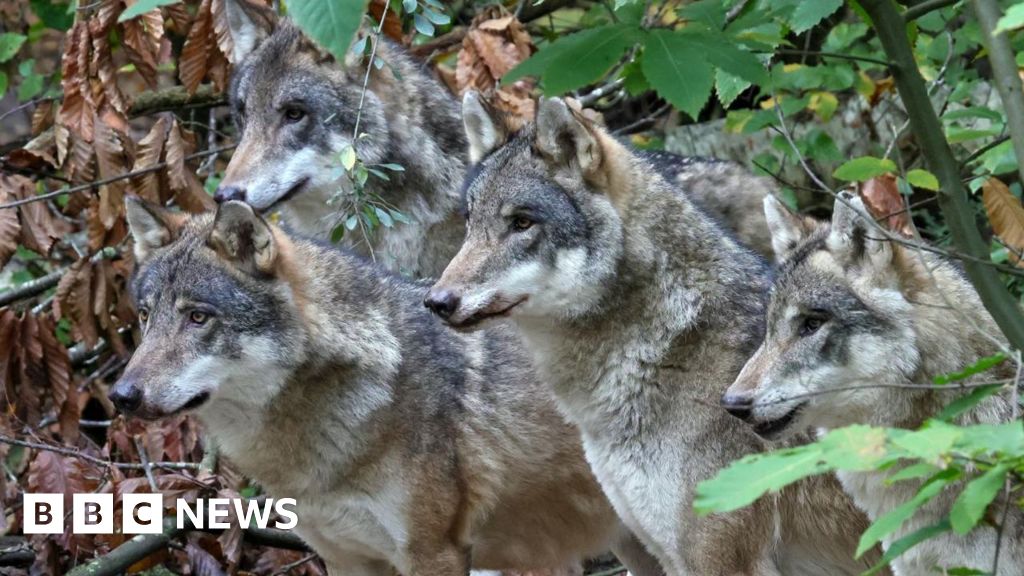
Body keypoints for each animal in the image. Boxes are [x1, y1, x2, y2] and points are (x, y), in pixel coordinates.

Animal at [424, 93, 882, 576]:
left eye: (522, 223)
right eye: (470, 222)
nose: (437, 301)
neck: (672, 349)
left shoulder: (722, 558)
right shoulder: (659, 549)